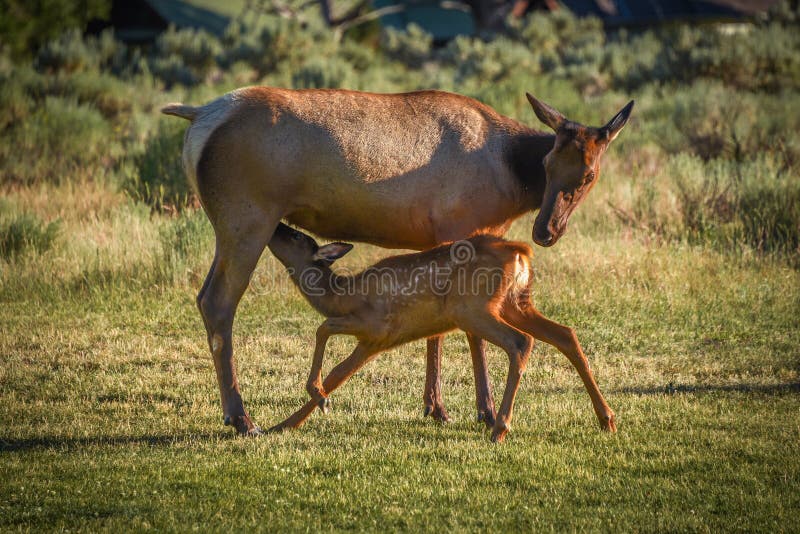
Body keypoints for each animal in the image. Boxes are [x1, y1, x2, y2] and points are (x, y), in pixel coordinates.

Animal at [268, 223, 612, 444]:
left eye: (296, 235)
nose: (276, 227)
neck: (341, 296)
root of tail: (520, 251)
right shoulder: (373, 343)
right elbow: (337, 375)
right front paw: (282, 425)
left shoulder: (376, 323)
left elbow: (322, 329)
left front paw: (315, 397)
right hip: (515, 302)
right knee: (565, 334)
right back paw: (606, 419)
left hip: (471, 307)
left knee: (520, 342)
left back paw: (499, 428)